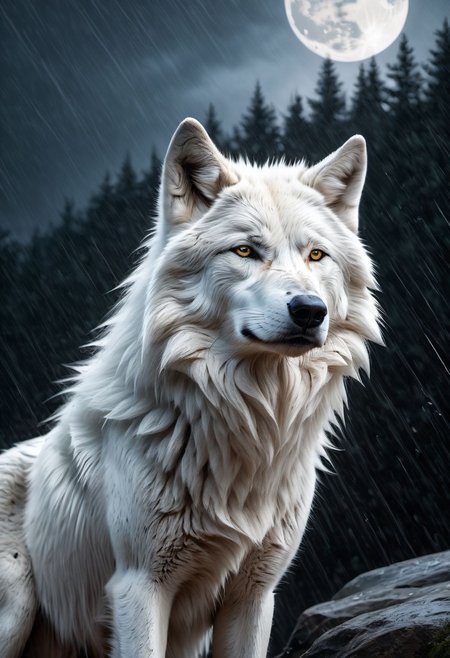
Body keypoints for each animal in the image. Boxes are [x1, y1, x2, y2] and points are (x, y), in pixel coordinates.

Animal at [0, 118, 381, 657]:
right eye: (245, 250)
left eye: (316, 255)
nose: (310, 311)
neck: (247, 424)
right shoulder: (140, 585)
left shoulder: (254, 593)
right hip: (14, 611)